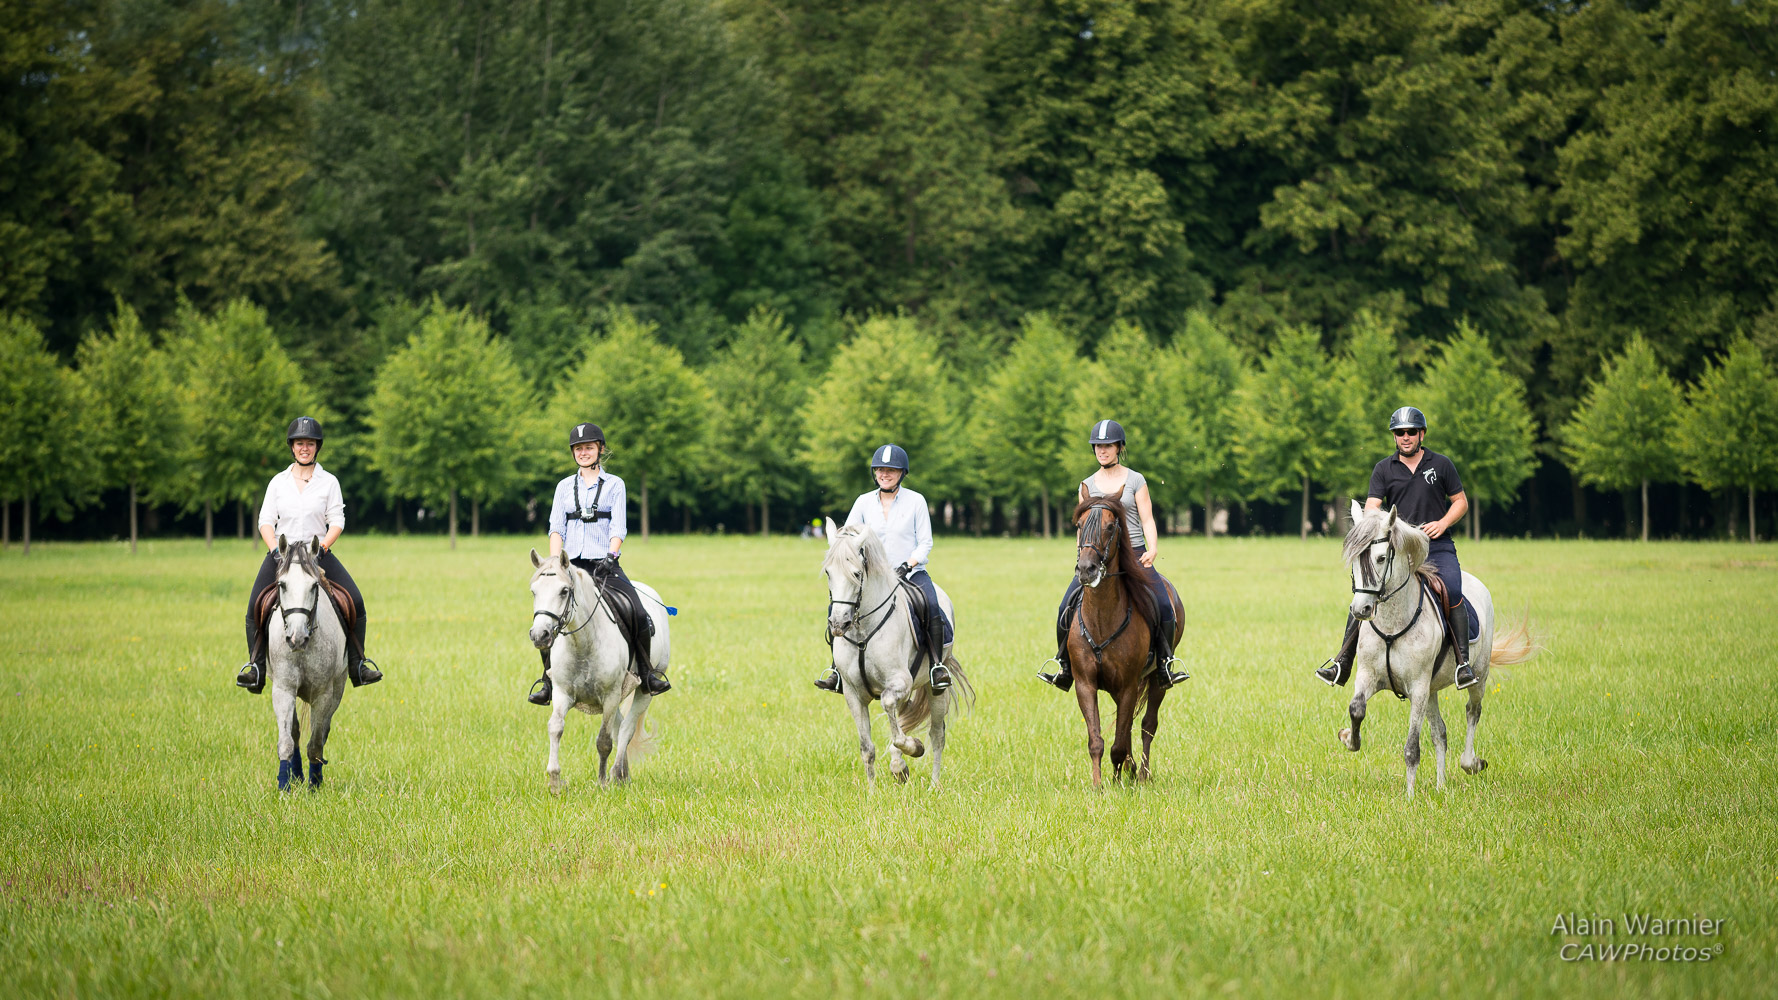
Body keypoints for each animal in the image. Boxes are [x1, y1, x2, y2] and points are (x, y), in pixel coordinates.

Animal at [264, 535, 350, 791]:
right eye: (282, 585)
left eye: (313, 586)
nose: (297, 637)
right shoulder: (283, 689)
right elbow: (286, 741)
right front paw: (284, 786)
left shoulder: (323, 693)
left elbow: (316, 743)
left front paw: (314, 785)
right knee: (294, 733)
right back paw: (296, 775)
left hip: (338, 688)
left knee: (322, 733)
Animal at [527, 550, 669, 792]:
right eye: (534, 591)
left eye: (564, 591)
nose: (539, 635)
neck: (582, 643)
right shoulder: (563, 693)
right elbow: (555, 727)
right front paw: (555, 781)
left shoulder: (610, 696)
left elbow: (604, 741)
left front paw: (602, 782)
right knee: (620, 727)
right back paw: (624, 775)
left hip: (646, 688)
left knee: (626, 729)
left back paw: (617, 774)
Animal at [821, 517, 974, 789]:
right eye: (829, 572)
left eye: (857, 574)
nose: (838, 623)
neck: (863, 632)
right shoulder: (853, 694)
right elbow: (867, 748)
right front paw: (872, 792)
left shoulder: (900, 682)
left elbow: (891, 712)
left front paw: (913, 750)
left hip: (936, 689)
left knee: (937, 735)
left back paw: (933, 785)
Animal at [1068, 499, 1184, 787]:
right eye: (1079, 525)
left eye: (1110, 526)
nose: (1086, 569)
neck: (1101, 617)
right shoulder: (1085, 684)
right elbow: (1097, 740)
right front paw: (1098, 786)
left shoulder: (1129, 684)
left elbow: (1120, 742)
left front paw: (1119, 779)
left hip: (1156, 681)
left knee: (1146, 726)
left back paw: (1142, 775)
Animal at [1337, 501, 1536, 795]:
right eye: (1354, 560)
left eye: (1381, 558)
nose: (1360, 610)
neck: (1392, 624)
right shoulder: (1368, 676)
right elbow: (1356, 709)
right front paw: (1349, 738)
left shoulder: (1418, 688)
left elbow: (1411, 748)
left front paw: (1409, 796)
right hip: (1431, 690)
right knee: (1440, 732)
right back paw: (1441, 786)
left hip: (1477, 676)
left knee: (1472, 711)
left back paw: (1472, 763)